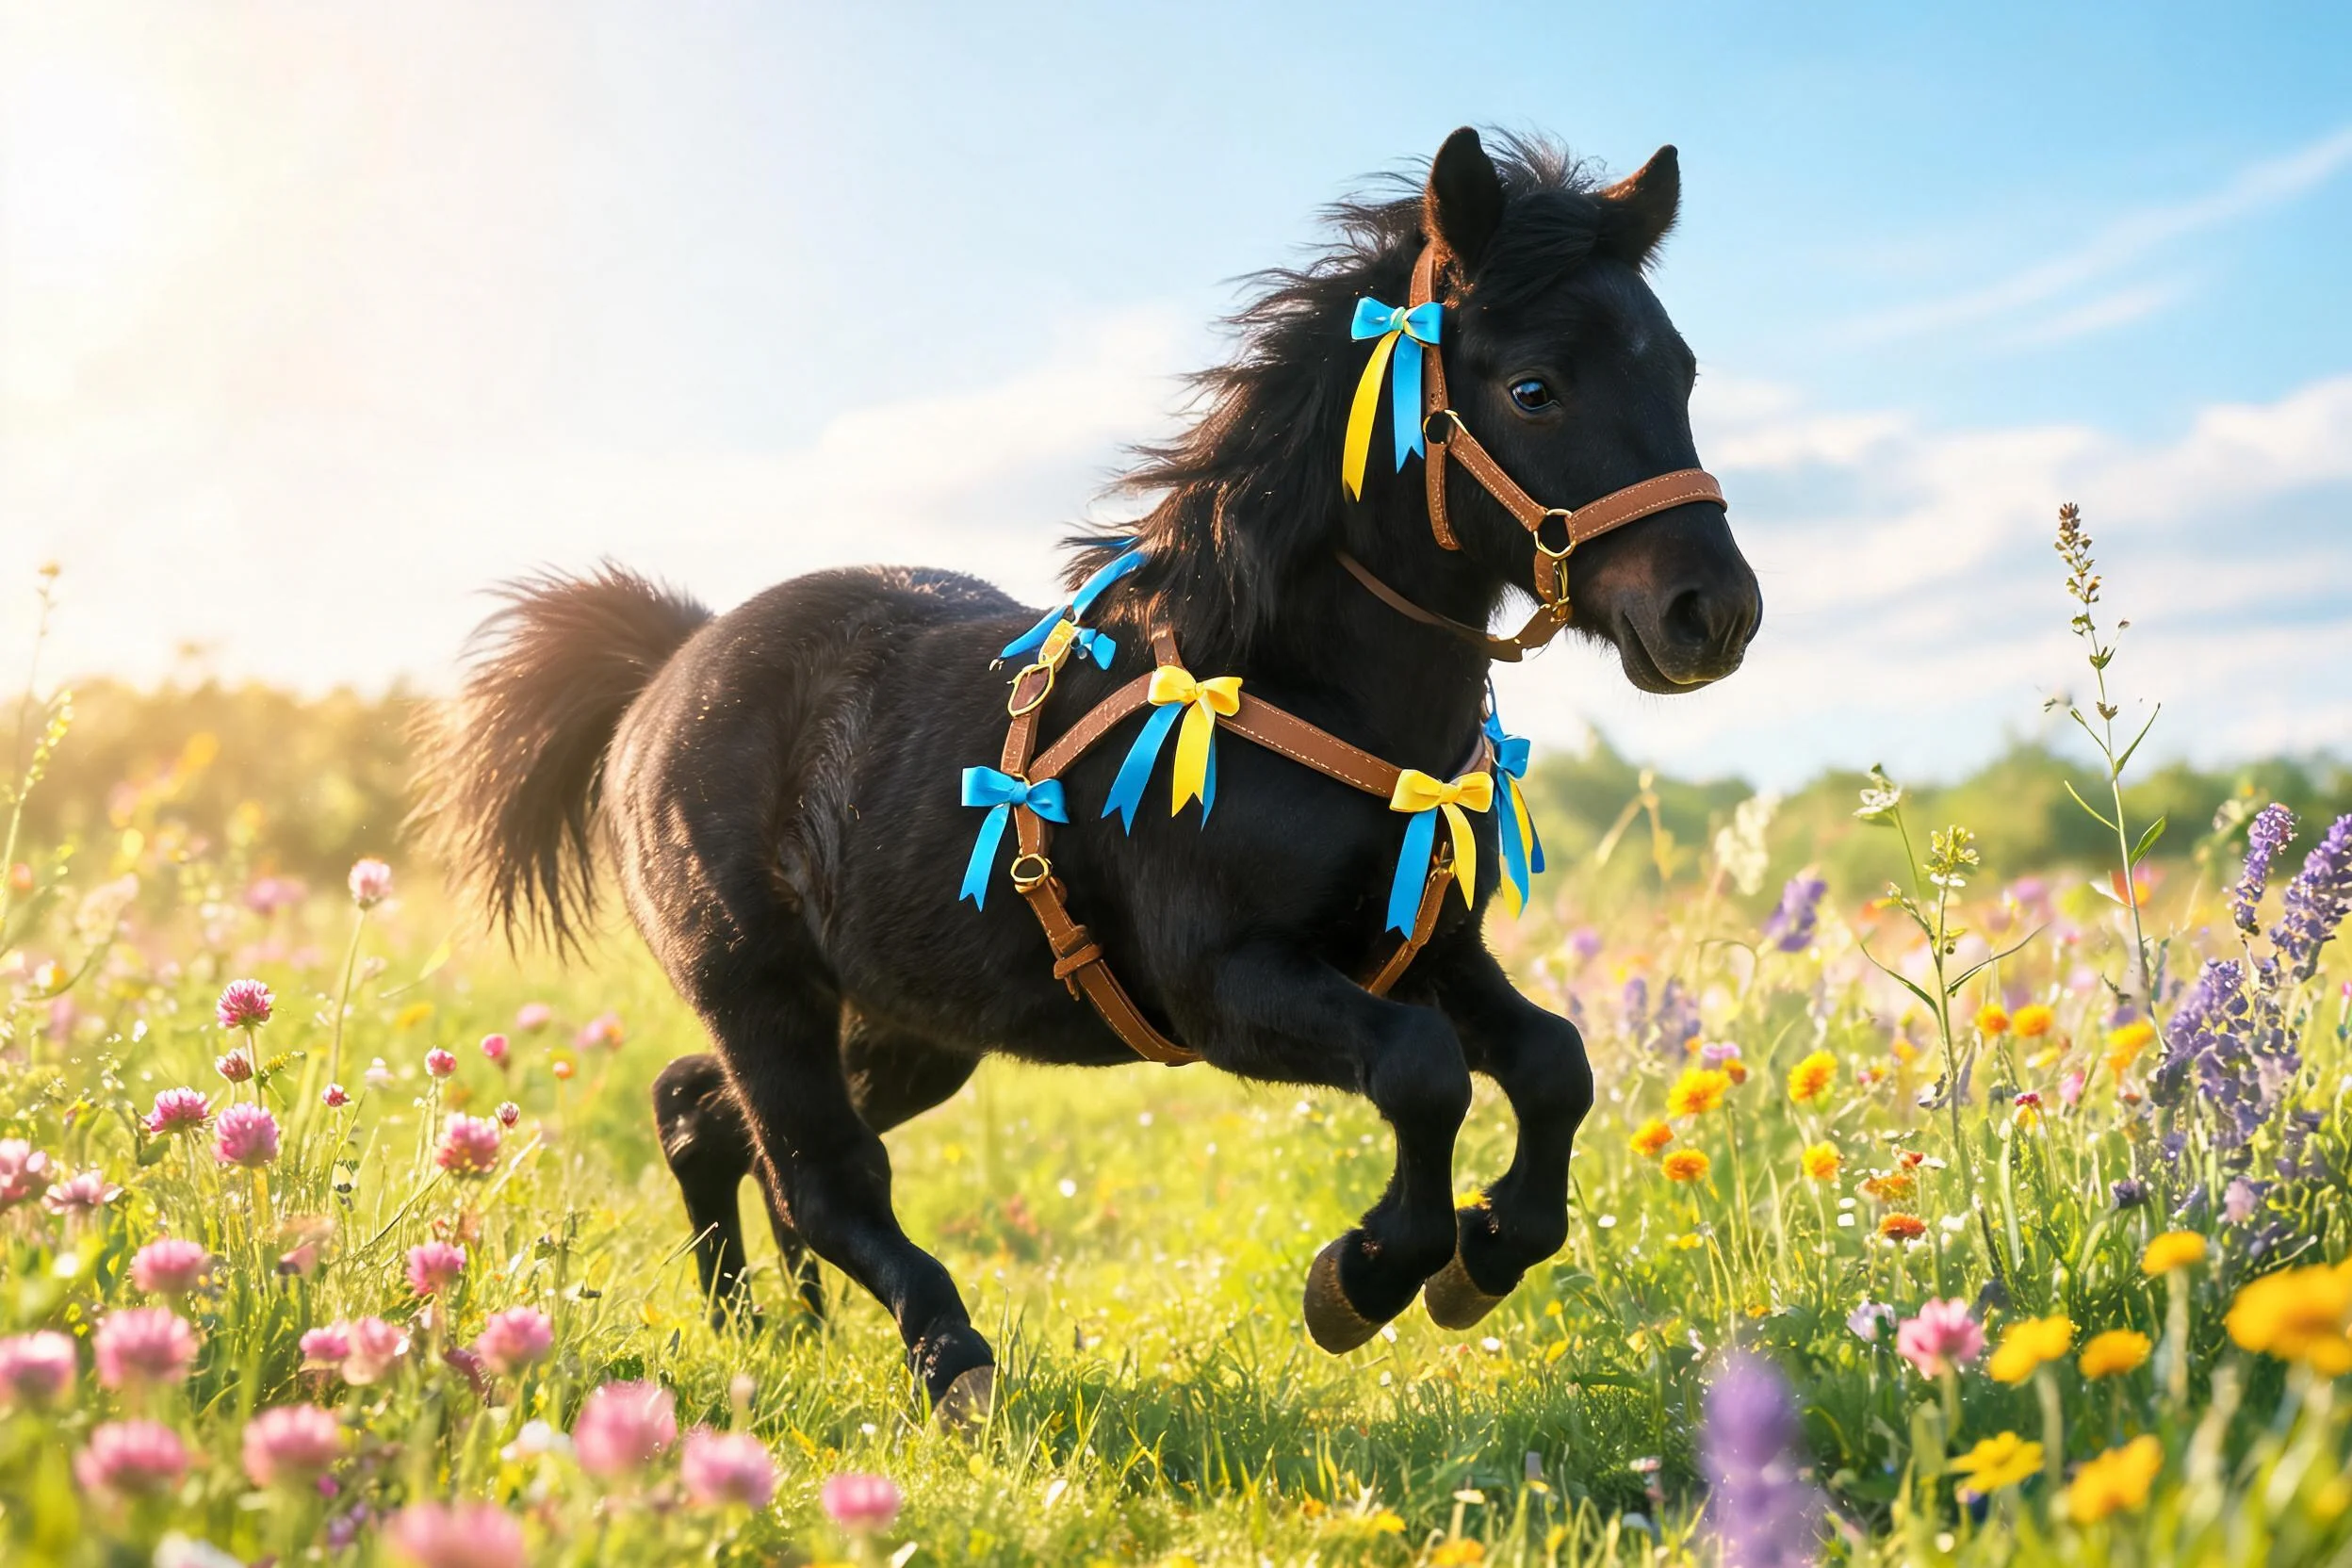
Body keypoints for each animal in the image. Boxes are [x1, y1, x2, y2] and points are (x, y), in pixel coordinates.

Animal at [416, 127, 1761, 1424]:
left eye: (1686, 372)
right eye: (1534, 388)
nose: (1714, 612)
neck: (1292, 682)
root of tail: (670, 663)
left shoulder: (1432, 951)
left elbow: (1555, 1062)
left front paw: (1485, 1252)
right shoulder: (1222, 983)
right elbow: (1424, 1074)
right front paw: (1367, 1273)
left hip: (908, 1021)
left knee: (704, 1114)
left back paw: (760, 1329)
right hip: (758, 986)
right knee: (821, 1176)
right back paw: (946, 1355)